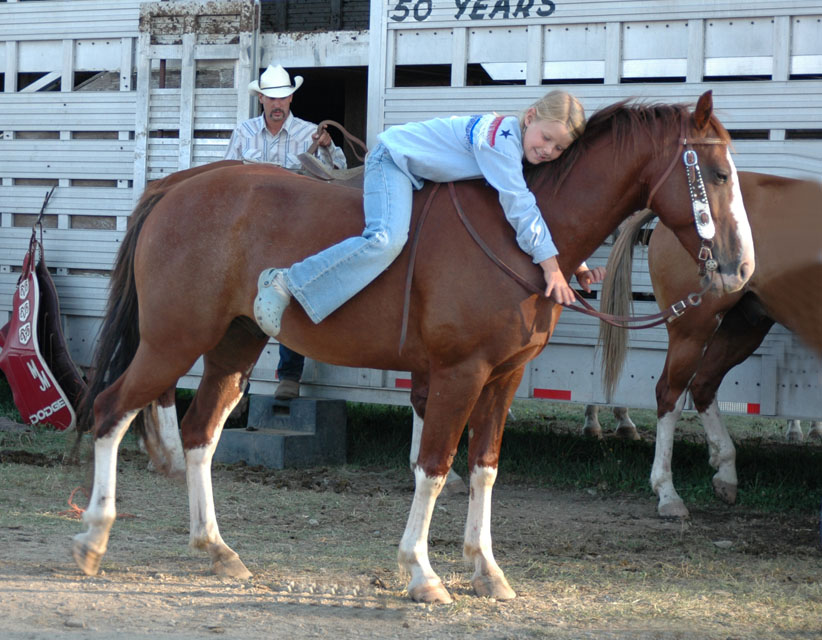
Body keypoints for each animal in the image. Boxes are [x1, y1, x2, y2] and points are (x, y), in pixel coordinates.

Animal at [74, 92, 756, 604]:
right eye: (719, 174)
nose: (740, 269)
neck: (518, 233)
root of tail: (177, 186)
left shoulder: (503, 379)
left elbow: (483, 468)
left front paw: (487, 570)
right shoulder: (458, 375)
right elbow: (433, 468)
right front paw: (423, 574)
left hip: (232, 346)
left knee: (198, 435)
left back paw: (216, 549)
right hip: (172, 341)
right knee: (111, 410)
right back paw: (93, 539)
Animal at [600, 171, 822, 520]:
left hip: (741, 327)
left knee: (703, 384)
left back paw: (726, 471)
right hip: (692, 330)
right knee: (670, 395)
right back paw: (668, 492)